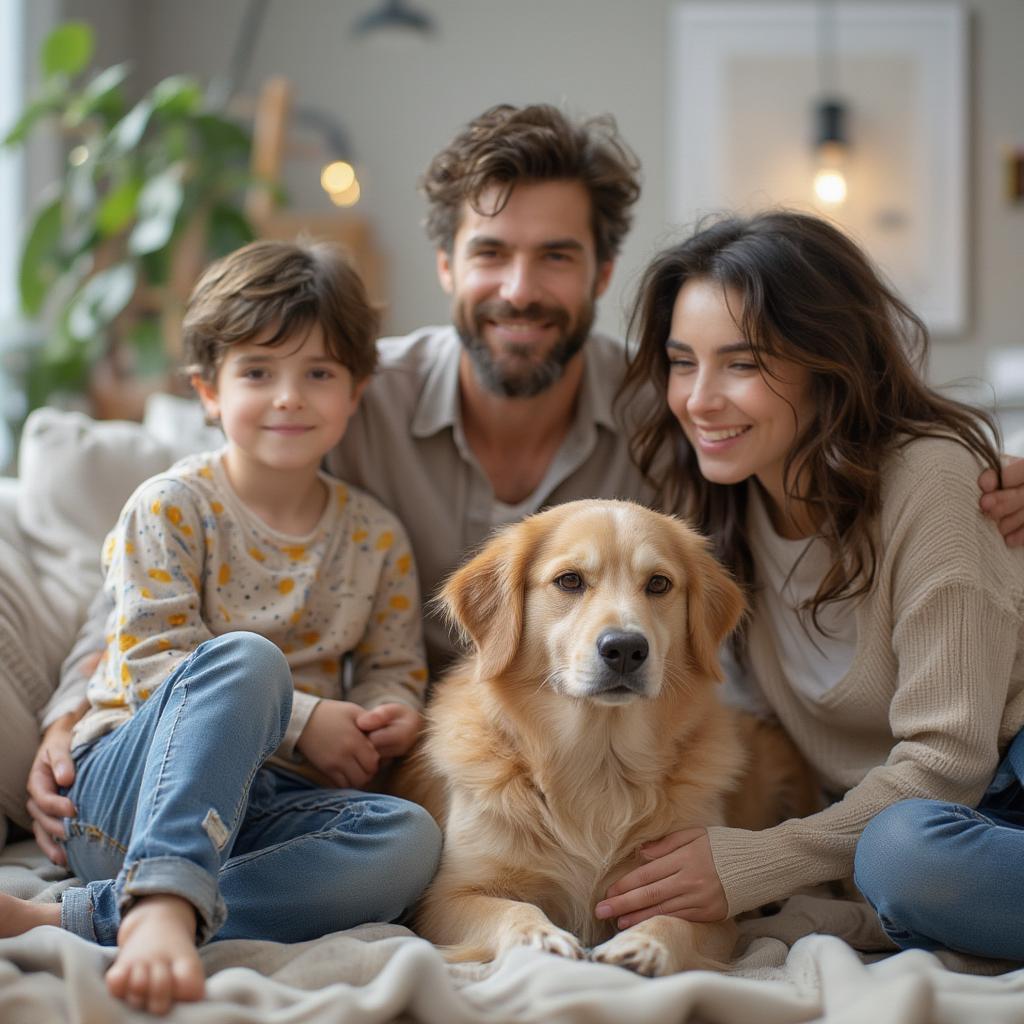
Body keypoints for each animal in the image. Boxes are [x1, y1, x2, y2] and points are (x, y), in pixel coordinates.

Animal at [399, 497, 761, 974]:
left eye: (659, 584)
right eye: (569, 580)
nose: (625, 648)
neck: (599, 761)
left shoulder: (705, 901)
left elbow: (673, 919)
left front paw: (645, 943)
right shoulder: (446, 897)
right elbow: (512, 908)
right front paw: (539, 937)